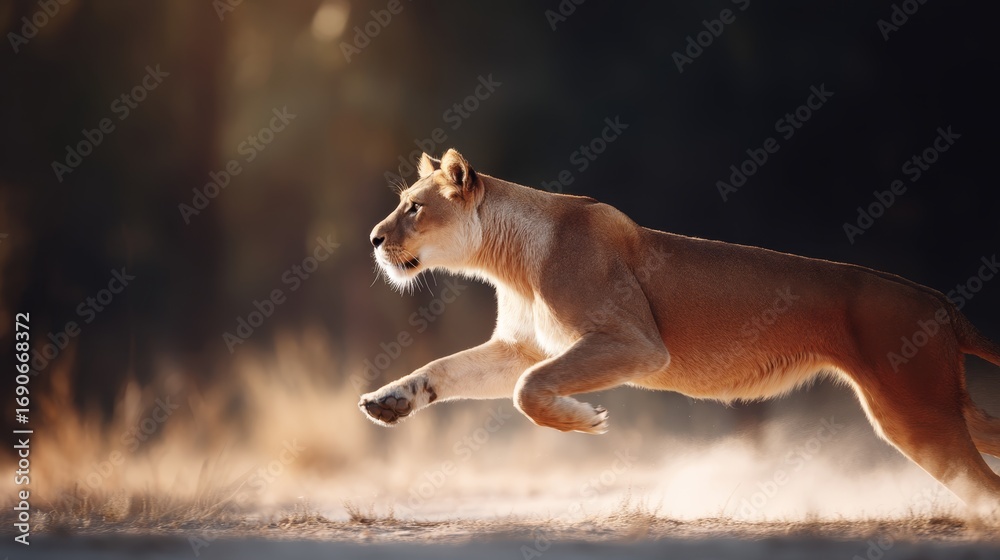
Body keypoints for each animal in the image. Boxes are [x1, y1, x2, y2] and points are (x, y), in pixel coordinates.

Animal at [360, 148, 1000, 511]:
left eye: (414, 207)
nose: (373, 238)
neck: (507, 261)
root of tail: (939, 299)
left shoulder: (637, 344)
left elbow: (528, 390)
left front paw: (583, 420)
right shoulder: (522, 347)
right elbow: (447, 369)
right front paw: (390, 400)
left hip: (915, 412)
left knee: (983, 486)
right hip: (937, 404)